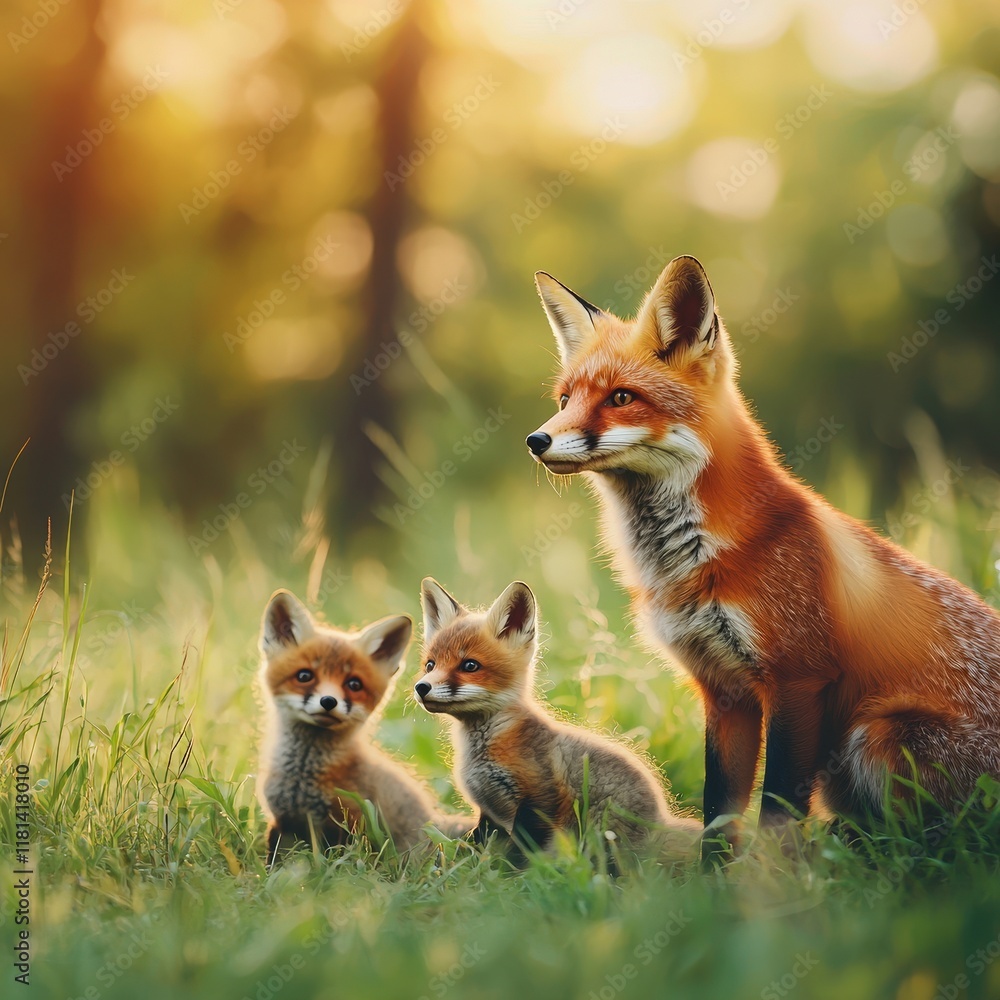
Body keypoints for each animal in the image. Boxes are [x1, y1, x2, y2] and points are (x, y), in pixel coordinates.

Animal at [257, 589, 472, 858]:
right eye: (304, 676)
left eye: (354, 684)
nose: (328, 701)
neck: (302, 778)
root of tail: (436, 821)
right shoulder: (282, 822)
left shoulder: (351, 824)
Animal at [413, 577, 700, 856]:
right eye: (430, 665)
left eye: (470, 665)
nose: (421, 687)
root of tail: (660, 821)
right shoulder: (490, 813)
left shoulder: (540, 798)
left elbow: (522, 854)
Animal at [524, 254, 1000, 850]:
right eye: (565, 400)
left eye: (621, 398)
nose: (536, 440)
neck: (693, 560)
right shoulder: (723, 689)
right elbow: (719, 811)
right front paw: (714, 875)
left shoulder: (798, 679)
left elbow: (775, 810)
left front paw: (775, 876)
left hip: (879, 732)